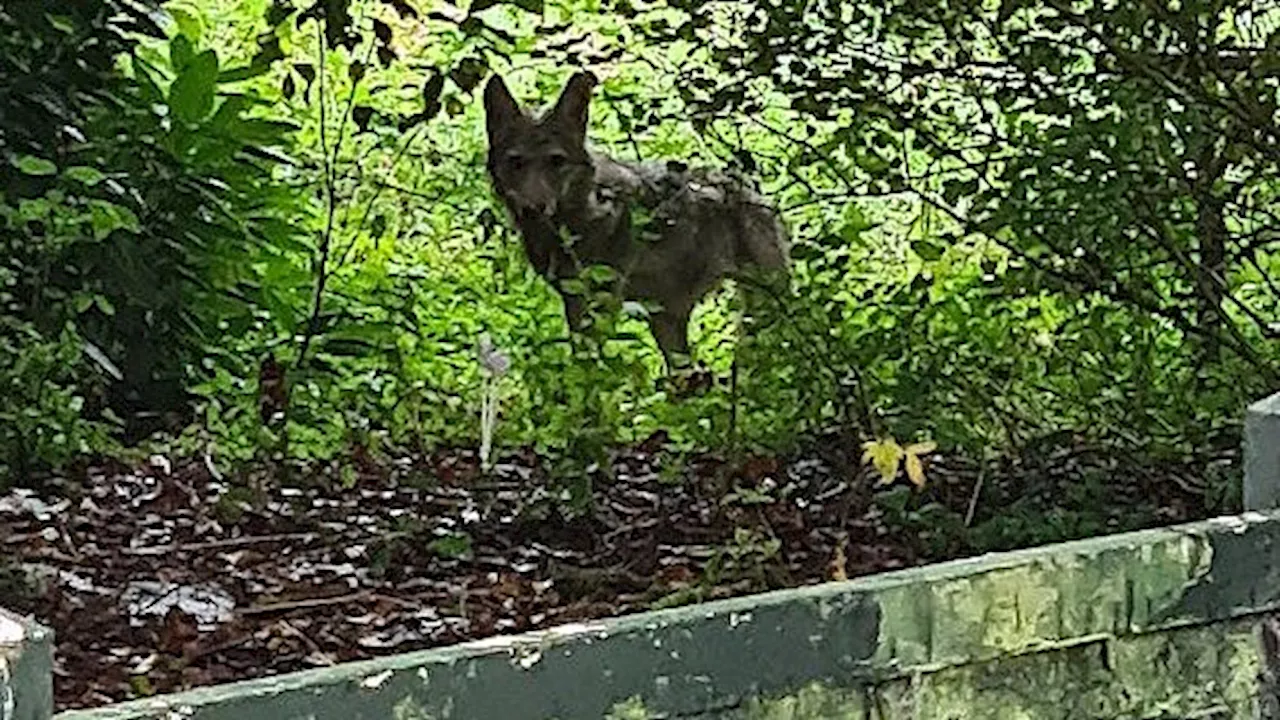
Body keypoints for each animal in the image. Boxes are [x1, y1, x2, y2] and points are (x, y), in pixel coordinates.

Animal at [481, 71, 788, 368]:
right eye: (516, 163)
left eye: (556, 161)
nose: (534, 208)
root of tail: (747, 184)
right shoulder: (574, 298)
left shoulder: (603, 300)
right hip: (667, 326)